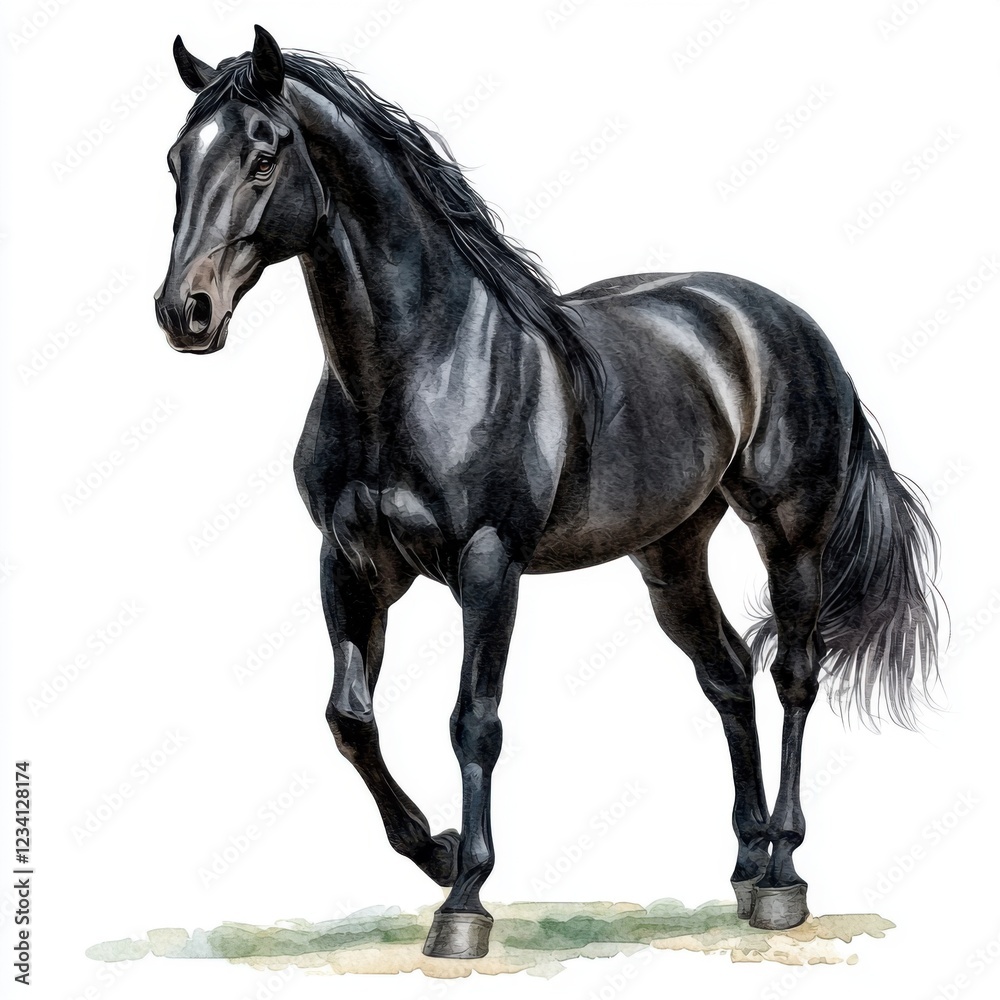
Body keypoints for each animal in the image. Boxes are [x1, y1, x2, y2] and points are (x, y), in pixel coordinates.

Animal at [155, 26, 941, 960]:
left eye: (264, 155)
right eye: (176, 160)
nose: (185, 312)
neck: (419, 364)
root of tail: (786, 325)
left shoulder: (489, 564)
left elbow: (474, 720)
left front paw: (465, 901)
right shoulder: (349, 564)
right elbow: (350, 718)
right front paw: (435, 850)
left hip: (791, 536)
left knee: (792, 675)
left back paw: (783, 872)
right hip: (671, 554)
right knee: (726, 673)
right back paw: (747, 866)